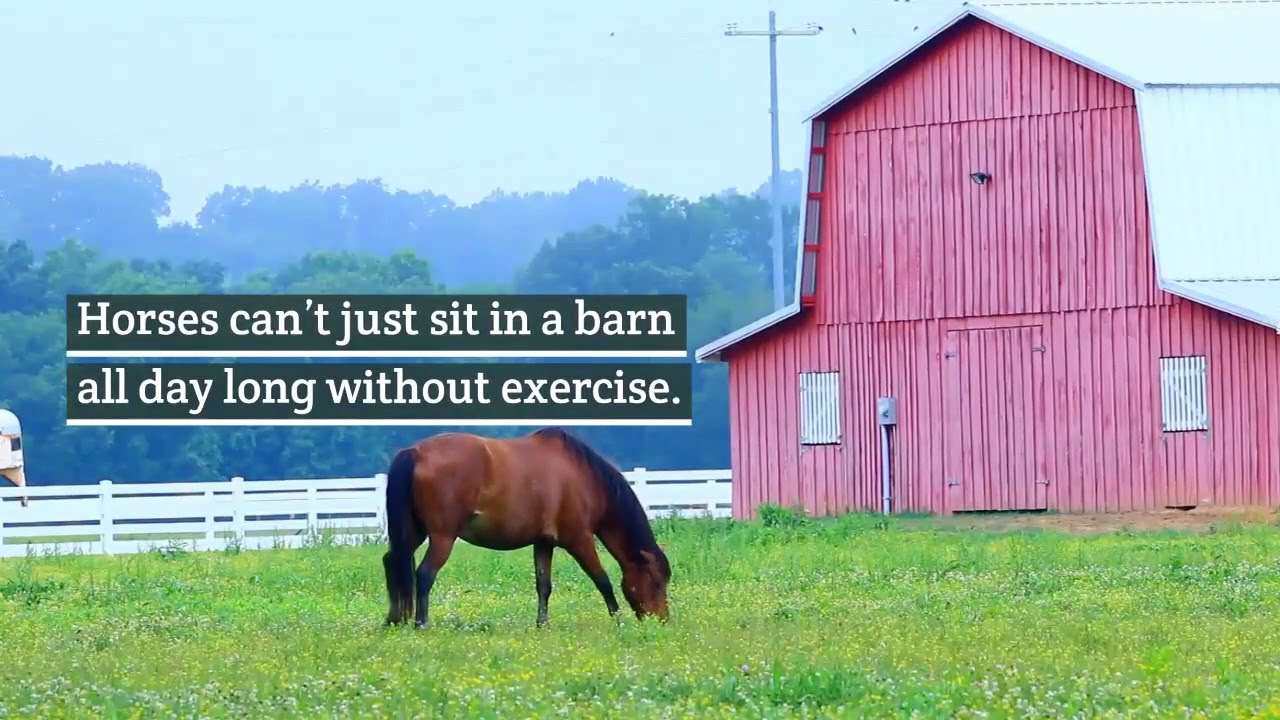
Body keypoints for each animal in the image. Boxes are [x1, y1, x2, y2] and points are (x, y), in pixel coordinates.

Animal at [380, 427, 672, 629]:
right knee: (424, 574)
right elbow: (602, 580)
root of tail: (416, 452)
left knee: (394, 562)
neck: (582, 477)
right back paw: (421, 623)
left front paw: (542, 624)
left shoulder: (543, 542)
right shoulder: (579, 540)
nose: (663, 621)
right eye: (657, 582)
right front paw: (618, 619)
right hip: (443, 537)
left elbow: (544, 585)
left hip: (413, 533)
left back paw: (393, 619)